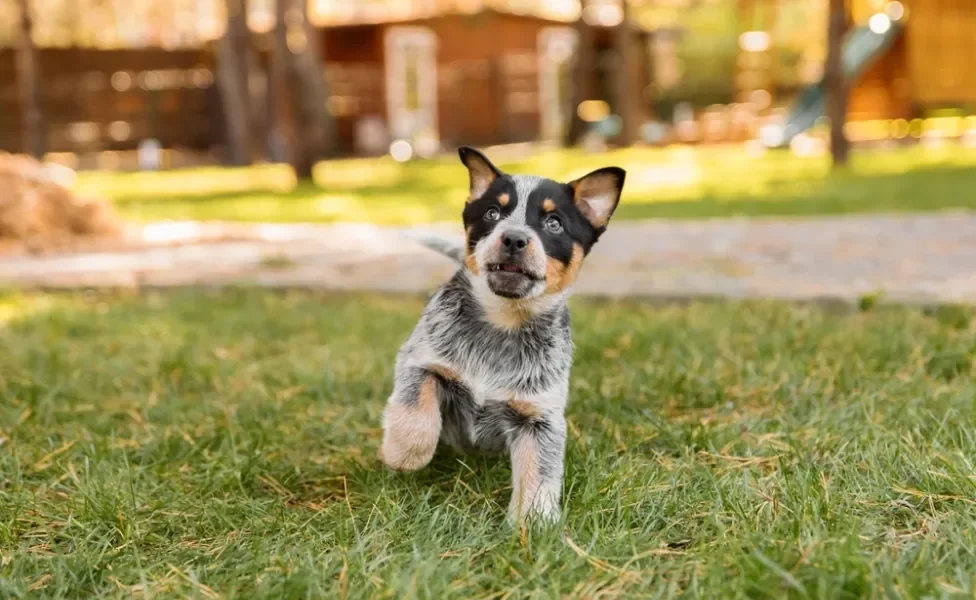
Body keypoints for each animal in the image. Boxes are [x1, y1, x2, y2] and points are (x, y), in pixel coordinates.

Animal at [378, 148, 620, 524]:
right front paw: (404, 453)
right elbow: (416, 406)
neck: (502, 326)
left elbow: (539, 472)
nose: (514, 238)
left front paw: (534, 524)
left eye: (554, 223)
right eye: (493, 212)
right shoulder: (419, 361)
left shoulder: (539, 417)